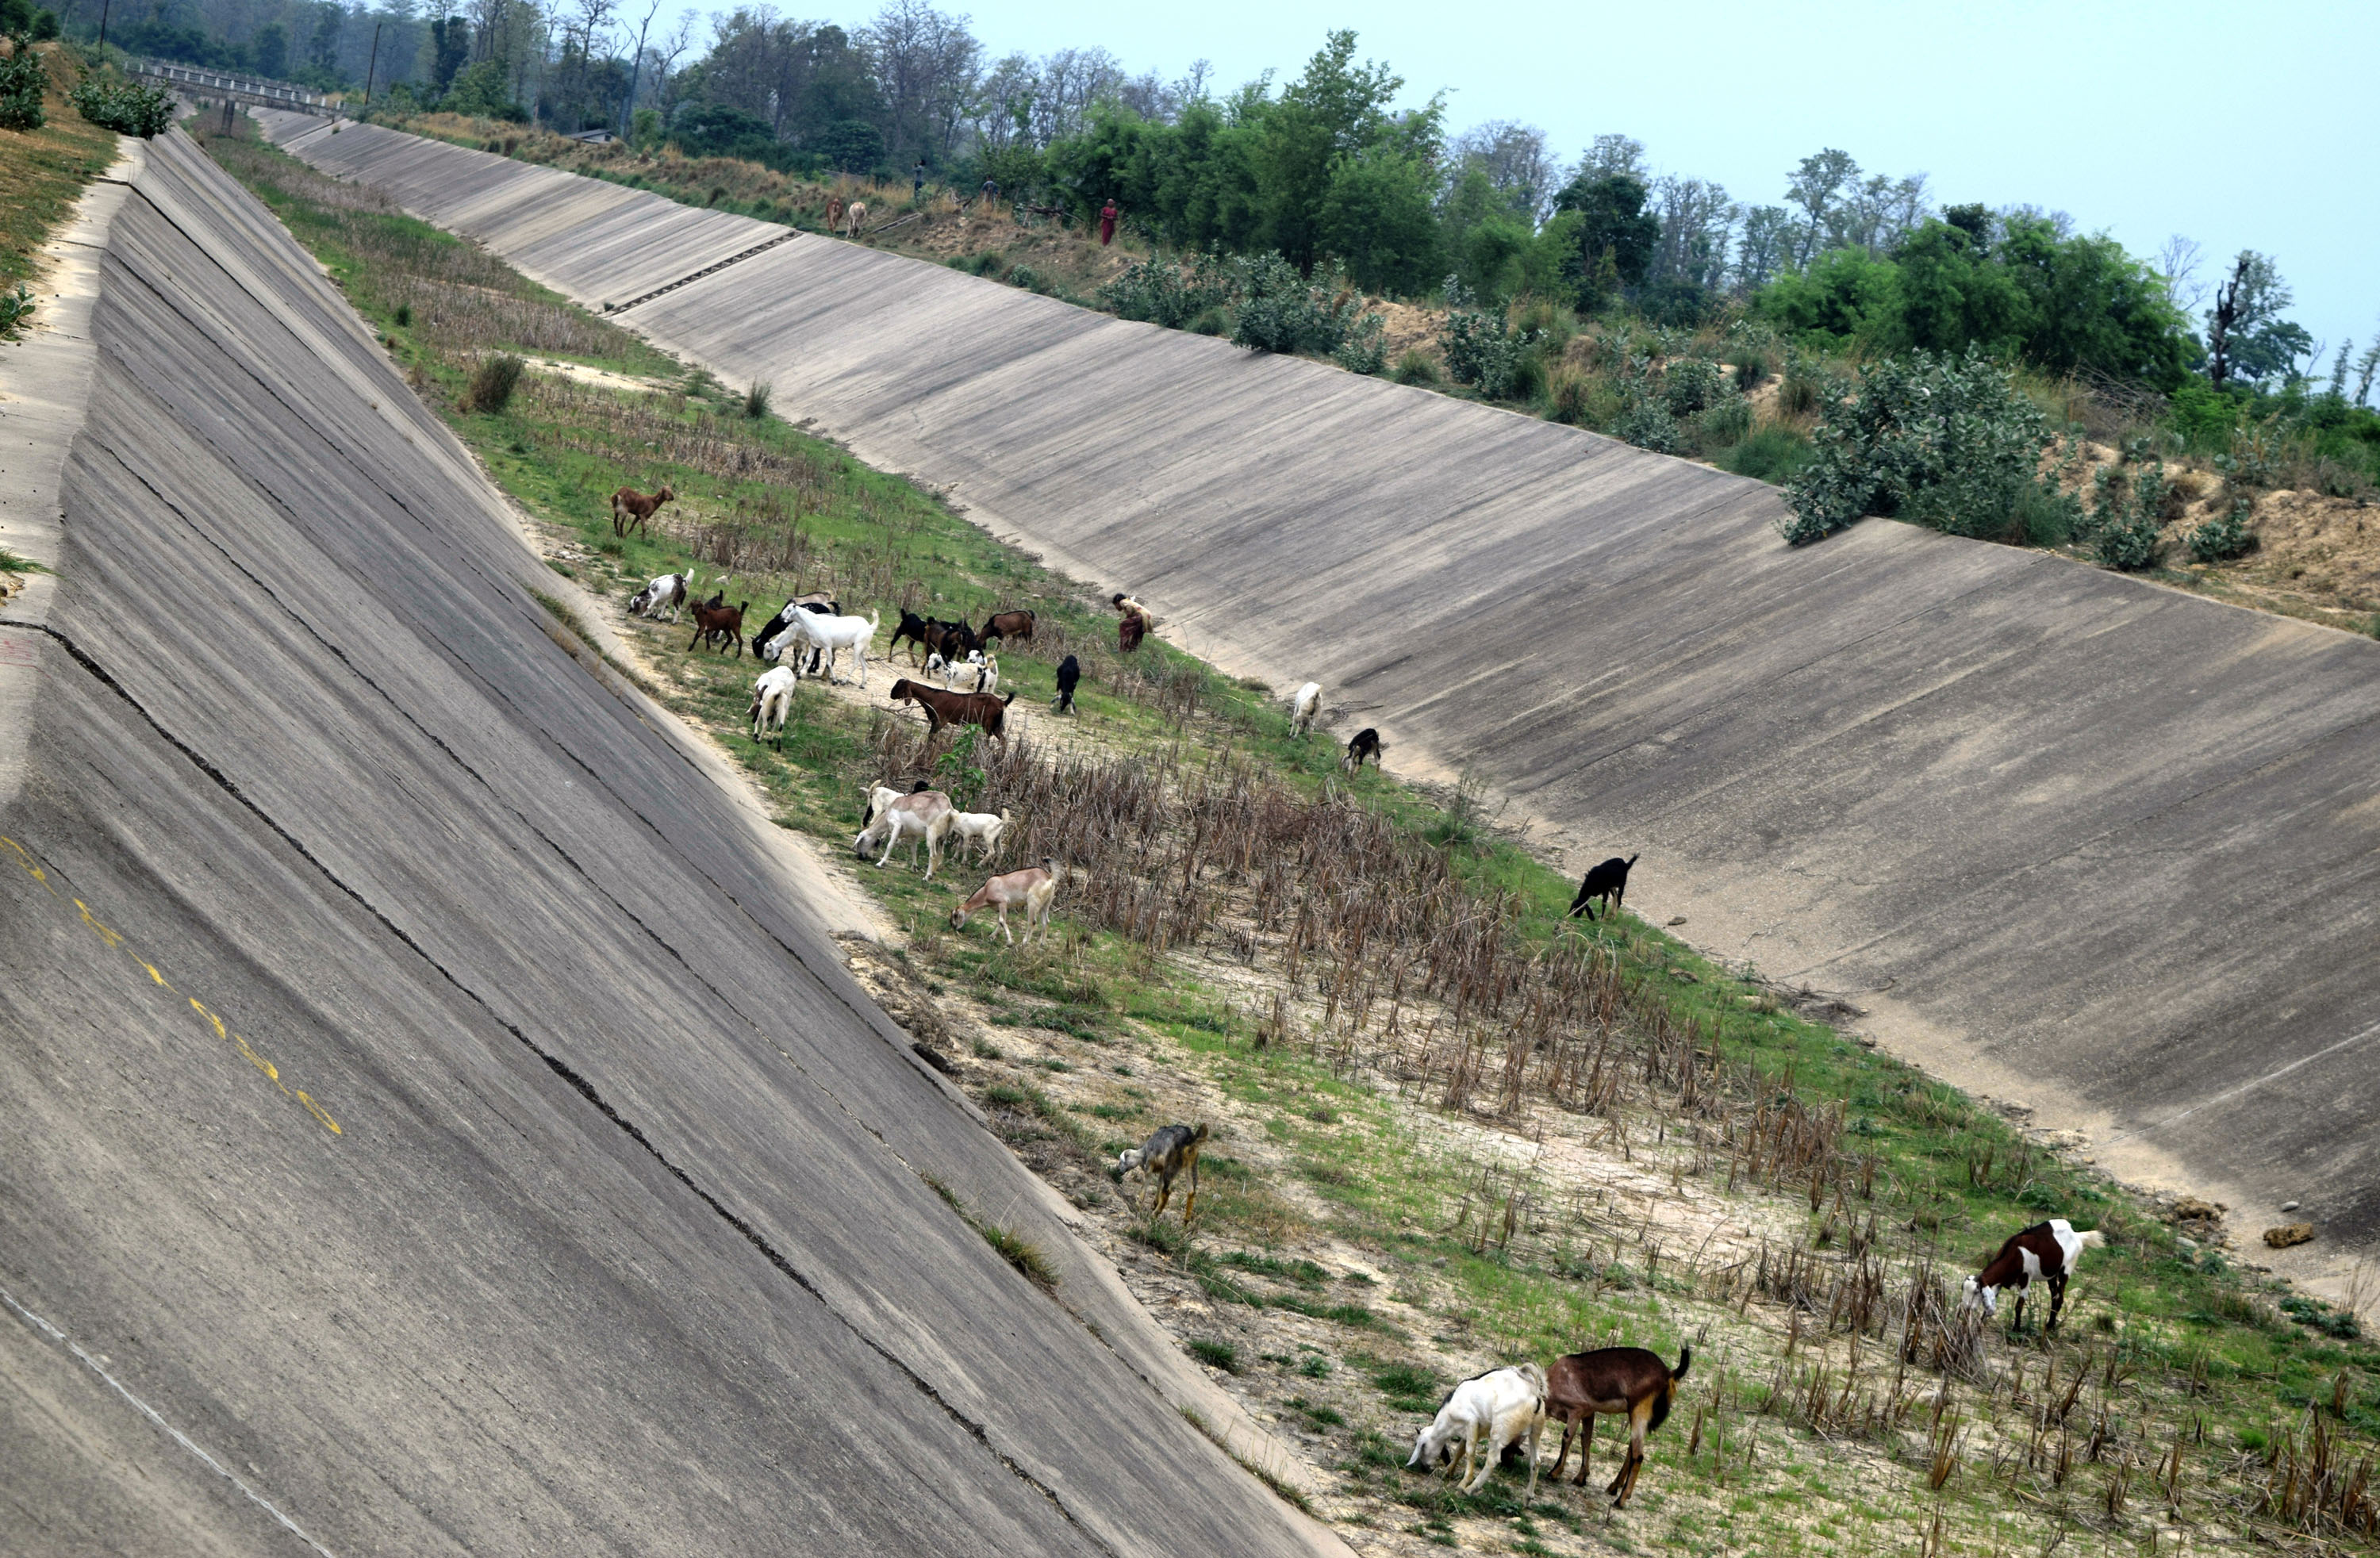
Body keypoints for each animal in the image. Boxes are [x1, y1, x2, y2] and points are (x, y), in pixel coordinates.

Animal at [885, 680, 1014, 742]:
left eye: (899, 686)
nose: (891, 694)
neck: (932, 697)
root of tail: (1002, 702)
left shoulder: (940, 721)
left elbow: (932, 737)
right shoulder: (934, 721)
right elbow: (931, 737)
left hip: (989, 724)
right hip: (995, 726)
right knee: (1003, 741)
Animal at [947, 861, 1061, 946]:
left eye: (956, 915)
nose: (953, 926)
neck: (986, 889)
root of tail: (1049, 877)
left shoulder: (1003, 902)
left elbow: (1002, 921)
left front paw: (1010, 942)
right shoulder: (1000, 906)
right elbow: (1000, 922)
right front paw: (991, 936)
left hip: (1033, 902)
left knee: (1032, 922)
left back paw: (1023, 943)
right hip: (1045, 905)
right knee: (1046, 922)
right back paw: (1042, 944)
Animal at [1399, 1370, 1552, 1503]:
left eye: (1421, 1447)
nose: (1423, 1467)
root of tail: (1534, 1395)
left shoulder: (1471, 1421)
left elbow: (1469, 1451)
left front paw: (1463, 1482)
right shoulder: (1478, 1429)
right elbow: (1460, 1449)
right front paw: (1448, 1472)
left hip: (1500, 1429)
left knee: (1493, 1460)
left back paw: (1470, 1489)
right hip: (1536, 1430)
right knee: (1536, 1462)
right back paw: (1527, 1497)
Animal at [1542, 1351, 1695, 1503]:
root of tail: (1669, 1373)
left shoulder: (1576, 1410)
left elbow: (1567, 1437)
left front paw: (1554, 1473)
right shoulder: (1589, 1413)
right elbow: (1586, 1439)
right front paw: (1581, 1478)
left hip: (1638, 1412)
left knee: (1638, 1455)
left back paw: (1620, 1500)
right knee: (1631, 1450)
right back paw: (1613, 1487)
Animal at [1961, 1227, 2113, 1332]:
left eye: (1976, 1291)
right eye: (1963, 1289)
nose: (1966, 1308)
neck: (2014, 1255)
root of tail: (2076, 1235)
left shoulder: (2026, 1280)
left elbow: (2019, 1306)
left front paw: (2016, 1329)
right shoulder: (2000, 1282)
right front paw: (1980, 1324)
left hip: (2066, 1270)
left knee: (2060, 1297)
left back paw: (2051, 1327)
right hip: (2051, 1276)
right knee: (2054, 1296)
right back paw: (2050, 1324)